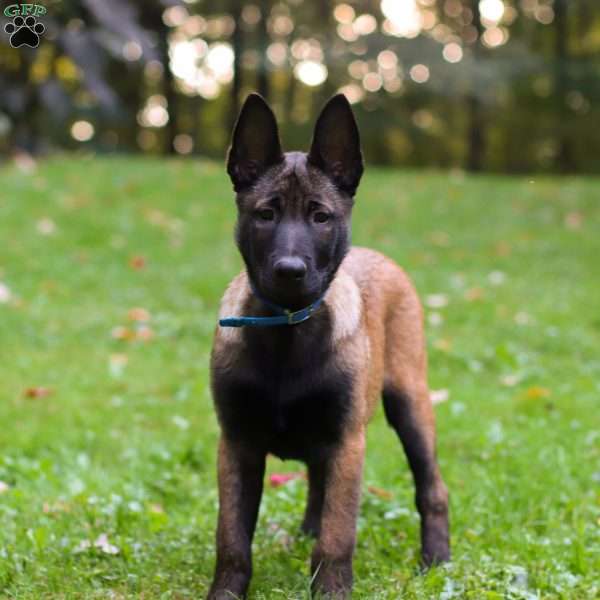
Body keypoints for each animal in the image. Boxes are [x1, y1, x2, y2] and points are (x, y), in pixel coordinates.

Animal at [209, 92, 448, 596]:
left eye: (321, 216)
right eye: (266, 214)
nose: (290, 270)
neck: (286, 331)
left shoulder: (346, 441)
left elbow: (338, 537)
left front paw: (331, 588)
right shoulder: (237, 442)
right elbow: (232, 537)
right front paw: (225, 591)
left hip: (410, 404)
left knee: (432, 487)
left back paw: (437, 559)